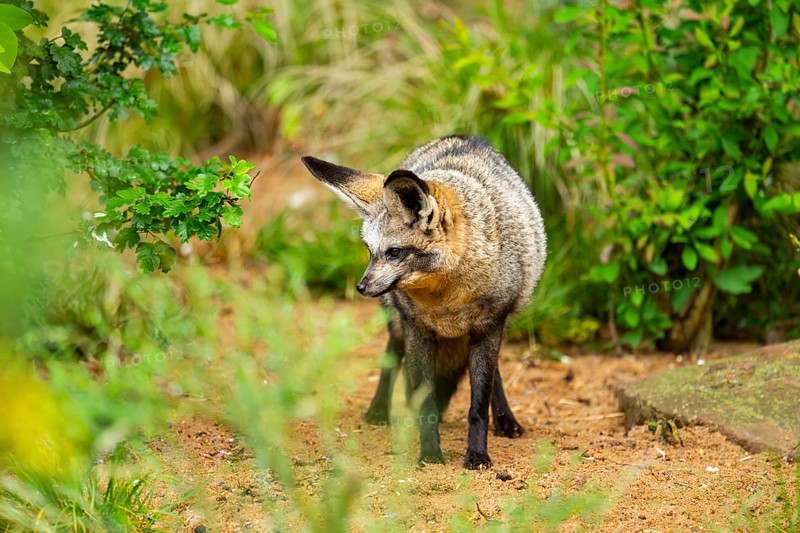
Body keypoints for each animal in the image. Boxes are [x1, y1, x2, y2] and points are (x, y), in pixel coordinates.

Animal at [301, 135, 547, 469]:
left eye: (394, 252)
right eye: (369, 251)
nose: (362, 287)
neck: (447, 303)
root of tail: (464, 138)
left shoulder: (488, 328)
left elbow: (478, 404)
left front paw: (478, 453)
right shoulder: (418, 331)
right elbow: (426, 403)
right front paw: (430, 453)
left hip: (501, 325)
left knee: (494, 374)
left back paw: (505, 418)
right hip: (397, 322)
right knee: (391, 356)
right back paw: (378, 410)